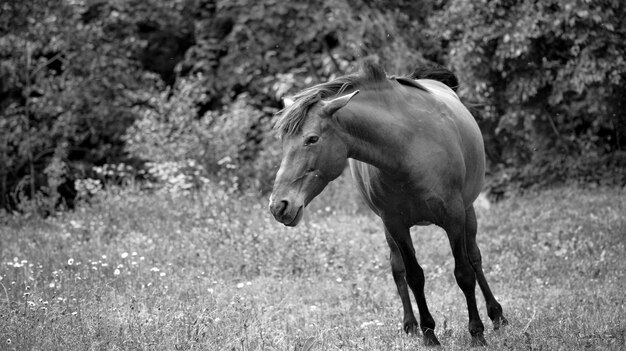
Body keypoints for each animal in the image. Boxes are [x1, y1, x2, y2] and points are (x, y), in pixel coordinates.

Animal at [266, 60, 504, 346]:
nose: (279, 206)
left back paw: (497, 315)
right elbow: (414, 276)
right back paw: (411, 325)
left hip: (468, 212)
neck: (408, 146)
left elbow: (465, 272)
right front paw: (429, 333)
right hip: (388, 227)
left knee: (475, 258)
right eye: (282, 141)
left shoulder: (454, 217)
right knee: (398, 268)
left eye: (312, 139)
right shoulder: (395, 224)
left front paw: (477, 332)